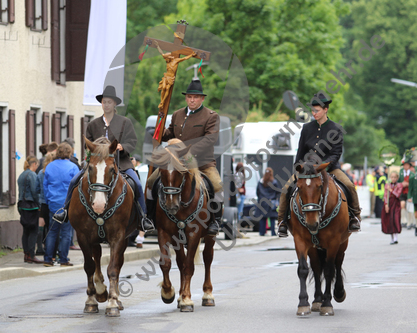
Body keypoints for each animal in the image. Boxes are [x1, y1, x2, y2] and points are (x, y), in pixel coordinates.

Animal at [68, 137, 136, 316]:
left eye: (112, 169)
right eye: (90, 167)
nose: (98, 204)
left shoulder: (118, 236)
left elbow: (113, 268)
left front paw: (112, 302)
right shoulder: (83, 236)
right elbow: (89, 266)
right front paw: (92, 300)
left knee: (117, 263)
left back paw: (115, 298)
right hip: (95, 239)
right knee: (97, 258)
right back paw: (100, 290)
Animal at [149, 138, 214, 312]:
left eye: (180, 172)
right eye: (162, 172)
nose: (171, 205)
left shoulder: (194, 234)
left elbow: (189, 266)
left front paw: (186, 299)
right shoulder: (164, 233)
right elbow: (166, 263)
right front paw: (168, 292)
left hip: (210, 236)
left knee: (207, 258)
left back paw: (207, 294)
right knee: (180, 261)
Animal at [286, 162, 352, 316]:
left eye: (319, 186)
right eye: (299, 187)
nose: (311, 223)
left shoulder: (334, 242)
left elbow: (329, 270)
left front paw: (327, 304)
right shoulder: (300, 241)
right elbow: (303, 269)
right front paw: (303, 303)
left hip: (342, 243)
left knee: (338, 263)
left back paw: (338, 292)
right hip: (314, 247)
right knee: (316, 267)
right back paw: (317, 300)